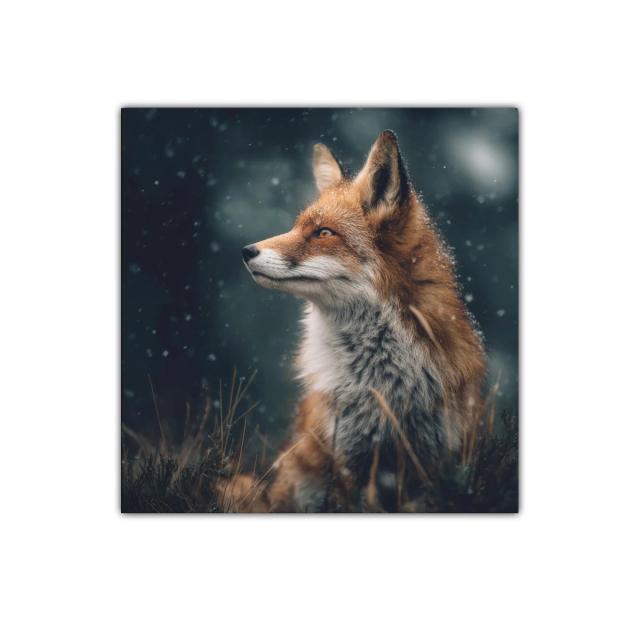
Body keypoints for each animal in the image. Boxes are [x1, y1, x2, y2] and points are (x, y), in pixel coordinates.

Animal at [235, 130, 486, 512]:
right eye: (296, 226)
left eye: (323, 233)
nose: (246, 251)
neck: (382, 380)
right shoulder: (346, 456)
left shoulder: (433, 460)